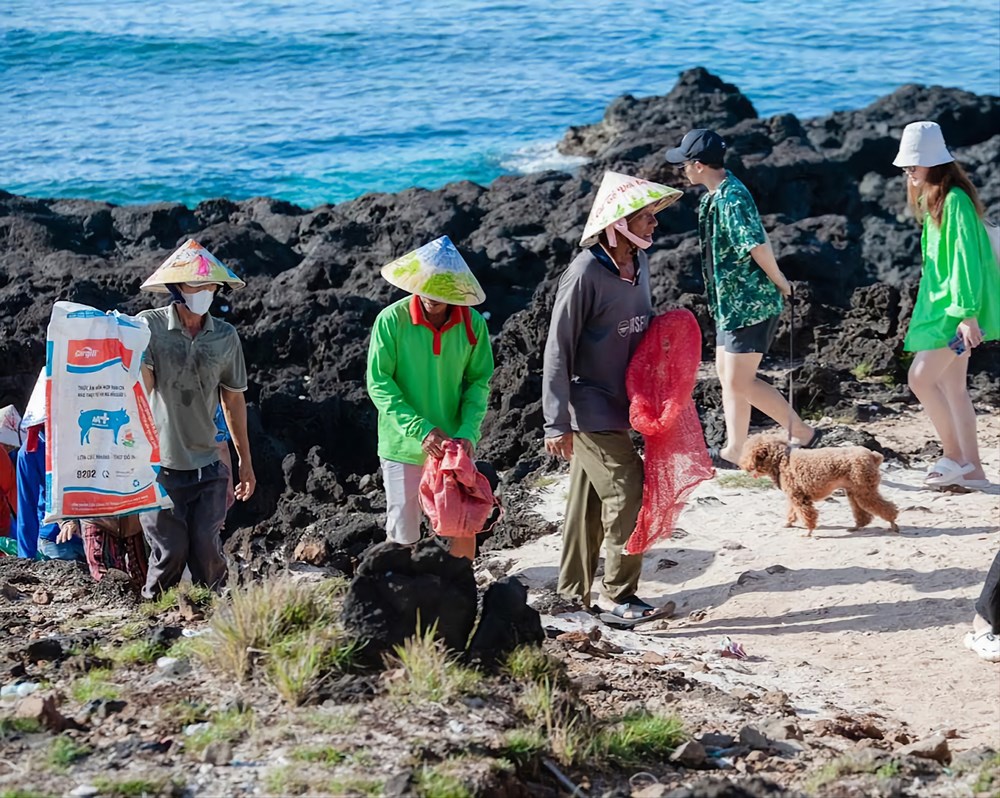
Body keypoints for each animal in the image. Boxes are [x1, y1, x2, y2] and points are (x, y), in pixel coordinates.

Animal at [740, 434, 904, 540]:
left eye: (747, 454)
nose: (742, 465)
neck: (781, 460)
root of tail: (873, 456)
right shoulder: (795, 495)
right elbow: (792, 512)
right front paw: (789, 523)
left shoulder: (799, 498)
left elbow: (807, 515)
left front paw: (808, 532)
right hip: (854, 490)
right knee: (863, 513)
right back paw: (857, 527)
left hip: (864, 490)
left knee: (885, 507)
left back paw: (892, 523)